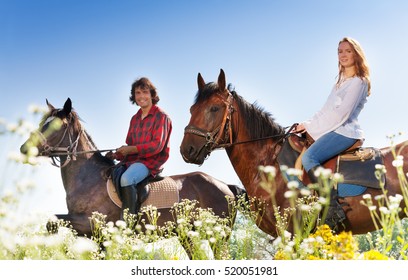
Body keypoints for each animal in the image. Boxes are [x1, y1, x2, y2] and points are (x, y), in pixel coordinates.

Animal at [20, 98, 245, 238]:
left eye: (56, 126)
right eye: (42, 124)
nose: (24, 149)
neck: (88, 179)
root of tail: (226, 186)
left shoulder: (91, 223)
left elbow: (52, 221)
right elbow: (53, 222)